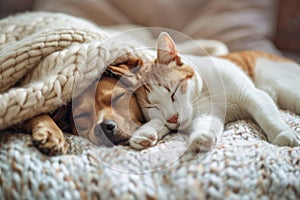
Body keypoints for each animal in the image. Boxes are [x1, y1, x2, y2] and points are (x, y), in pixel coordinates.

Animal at [127, 32, 300, 152]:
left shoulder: (251, 94)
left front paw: (283, 132)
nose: (173, 117)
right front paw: (147, 131)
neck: (203, 93)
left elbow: (266, 115)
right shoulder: (209, 113)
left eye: (173, 91)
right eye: (152, 107)